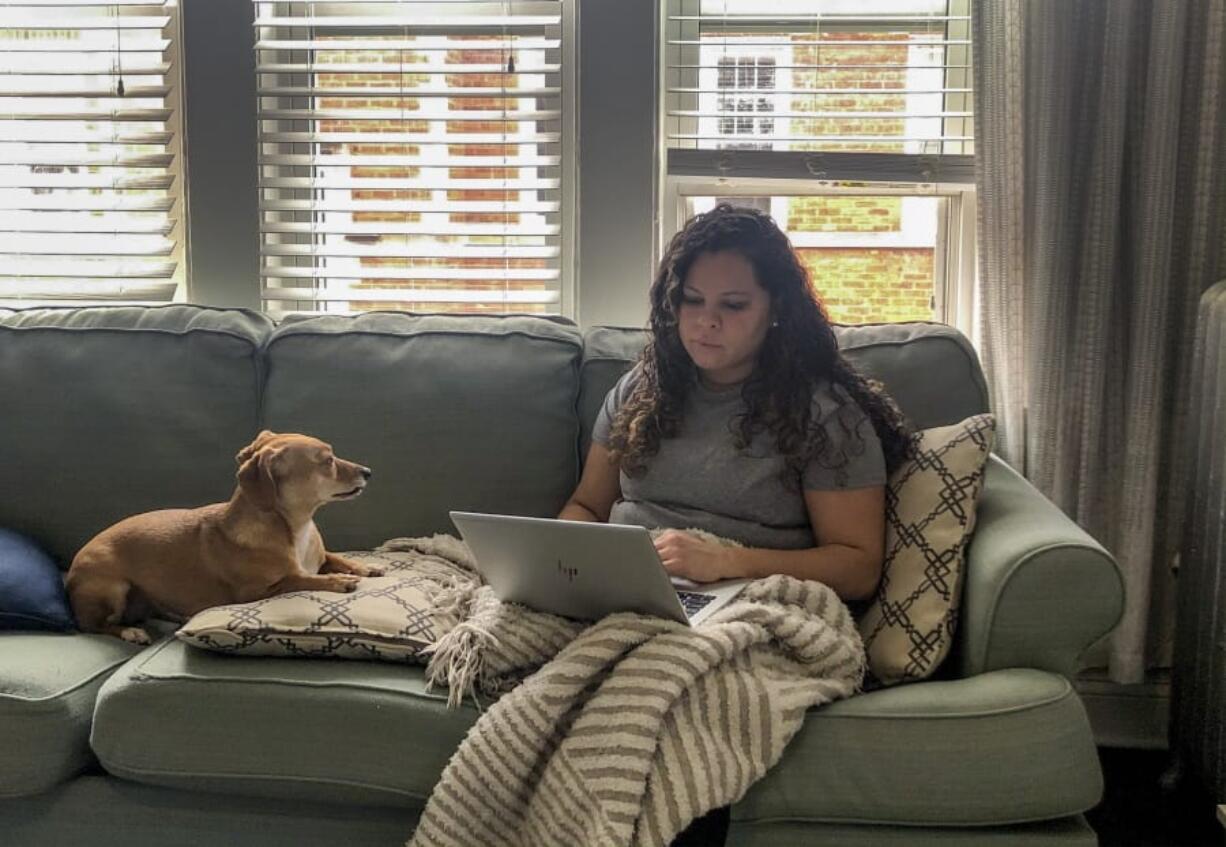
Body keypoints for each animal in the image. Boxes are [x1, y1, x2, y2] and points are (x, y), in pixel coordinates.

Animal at [67, 431, 380, 642]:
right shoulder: (253, 592)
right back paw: (131, 631)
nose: (368, 471)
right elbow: (296, 579)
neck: (297, 528)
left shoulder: (320, 555)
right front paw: (337, 581)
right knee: (94, 625)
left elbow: (332, 557)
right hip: (113, 588)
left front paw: (364, 567)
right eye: (327, 461)